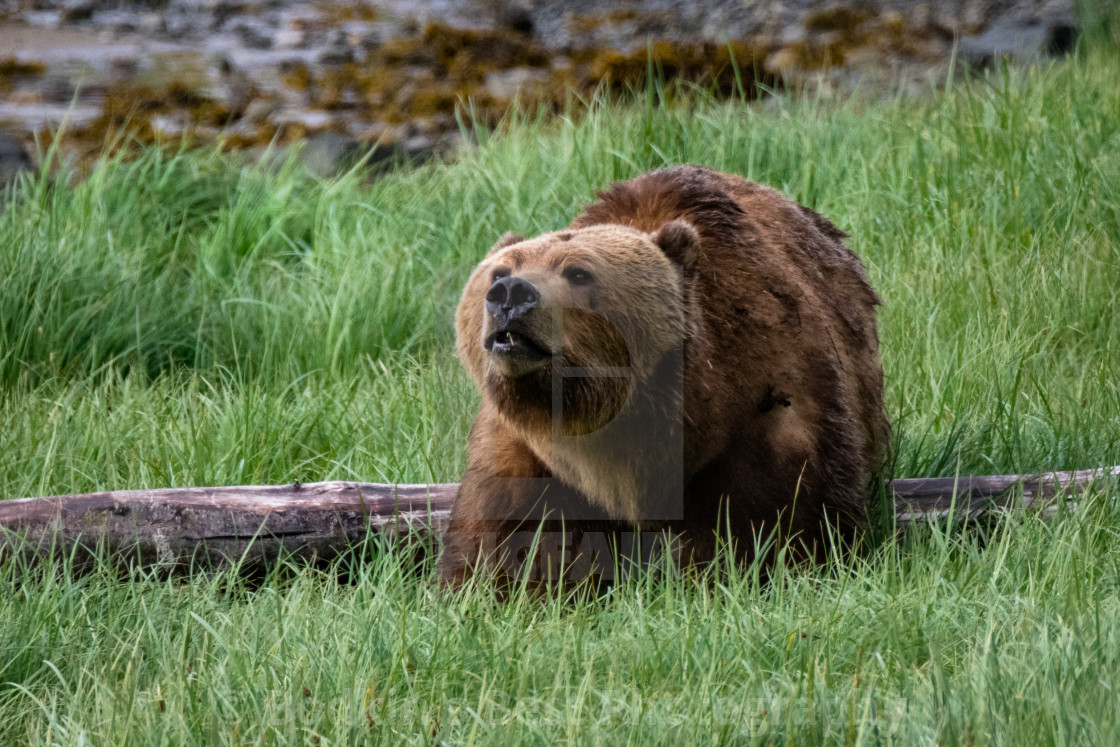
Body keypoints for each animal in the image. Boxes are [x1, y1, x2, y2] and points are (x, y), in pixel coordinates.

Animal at [441, 164, 887, 591]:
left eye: (579, 272)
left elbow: (774, 523)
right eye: (499, 271)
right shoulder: (525, 452)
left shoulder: (771, 410)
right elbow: (511, 540)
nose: (511, 293)